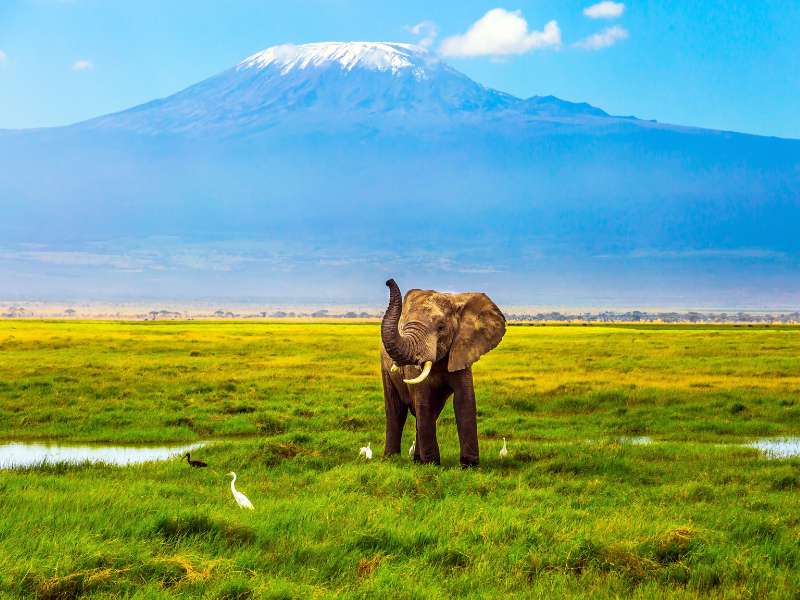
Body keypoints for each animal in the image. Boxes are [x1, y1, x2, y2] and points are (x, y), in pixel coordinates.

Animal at [378, 278, 504, 466]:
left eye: (441, 327)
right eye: (403, 326)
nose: (389, 281)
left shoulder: (462, 348)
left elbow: (464, 399)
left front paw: (469, 465)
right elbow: (423, 401)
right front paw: (432, 464)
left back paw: (417, 460)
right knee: (396, 411)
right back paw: (392, 458)